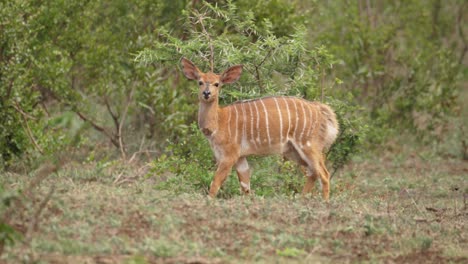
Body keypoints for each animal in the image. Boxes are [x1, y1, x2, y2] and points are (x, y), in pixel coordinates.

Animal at [181, 57, 338, 200]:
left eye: (217, 84)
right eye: (200, 82)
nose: (206, 93)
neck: (219, 121)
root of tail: (320, 109)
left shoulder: (229, 156)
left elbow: (215, 183)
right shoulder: (240, 158)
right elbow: (246, 187)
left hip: (308, 146)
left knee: (324, 174)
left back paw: (324, 202)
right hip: (293, 152)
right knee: (313, 173)